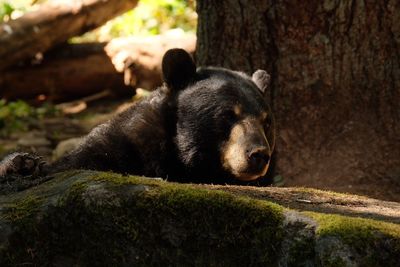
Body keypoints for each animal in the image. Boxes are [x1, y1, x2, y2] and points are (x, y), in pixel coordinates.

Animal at [0, 49, 276, 185]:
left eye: (266, 121)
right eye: (228, 114)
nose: (258, 154)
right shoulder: (119, 143)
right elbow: (73, 162)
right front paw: (23, 164)